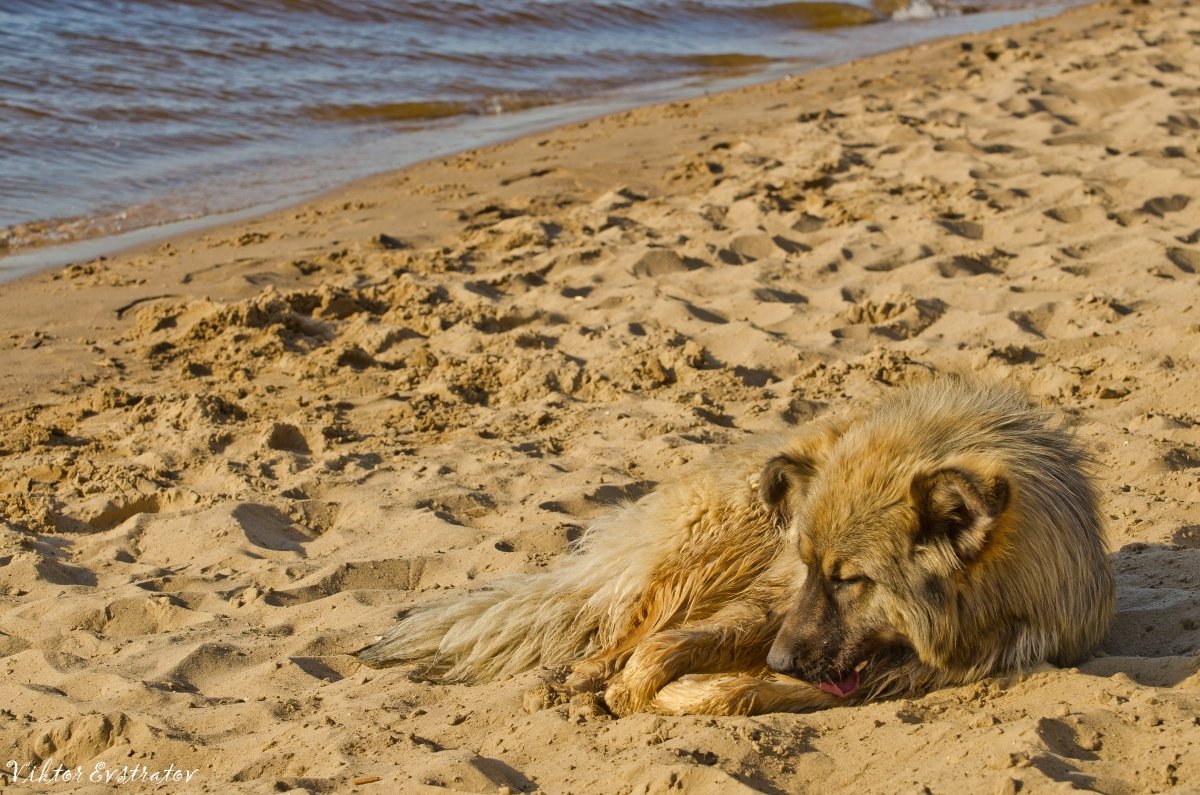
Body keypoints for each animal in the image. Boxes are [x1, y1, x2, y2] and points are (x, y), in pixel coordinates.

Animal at [357, 377, 1113, 720]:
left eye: (851, 580)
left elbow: (740, 689)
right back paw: (586, 671)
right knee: (632, 625)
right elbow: (668, 648)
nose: (779, 657)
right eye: (813, 569)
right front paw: (635, 685)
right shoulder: (771, 600)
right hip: (710, 550)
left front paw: (694, 691)